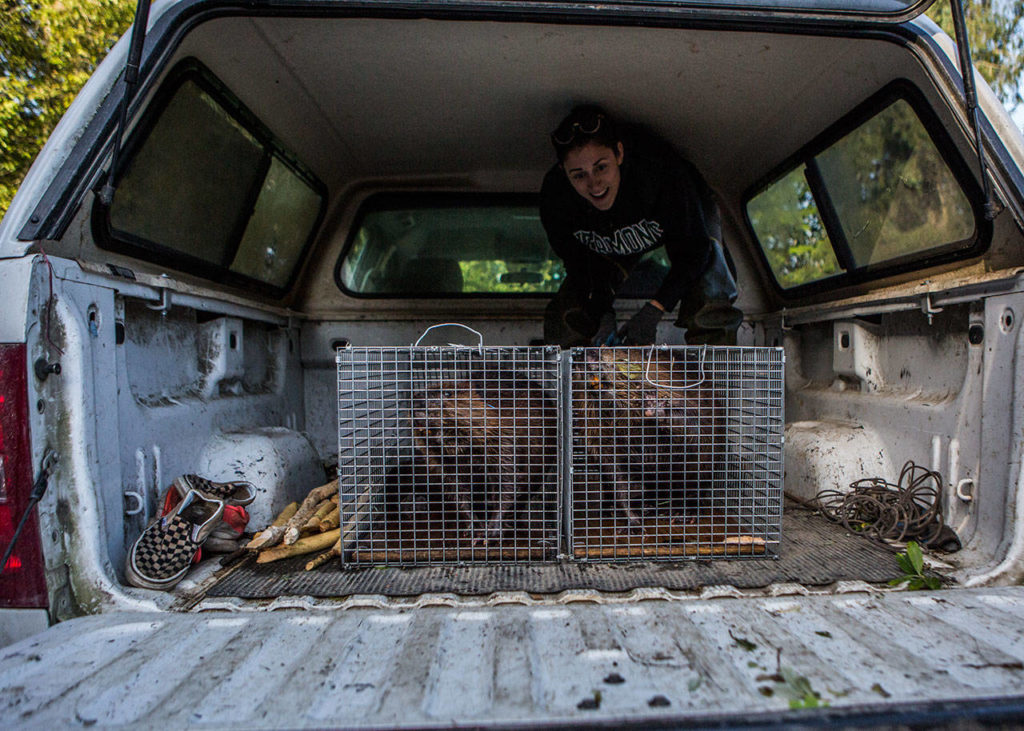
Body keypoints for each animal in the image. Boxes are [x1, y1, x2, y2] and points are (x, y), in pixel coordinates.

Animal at [409, 372, 557, 544]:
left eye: (447, 393)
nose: (416, 401)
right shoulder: (443, 462)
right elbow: (457, 491)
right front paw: (474, 528)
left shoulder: (504, 440)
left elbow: (508, 485)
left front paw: (489, 533)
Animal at [577, 348, 720, 528]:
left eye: (621, 356)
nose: (590, 352)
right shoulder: (601, 439)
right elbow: (617, 477)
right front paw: (633, 519)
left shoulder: (682, 392)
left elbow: (695, 432)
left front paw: (655, 407)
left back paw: (682, 512)